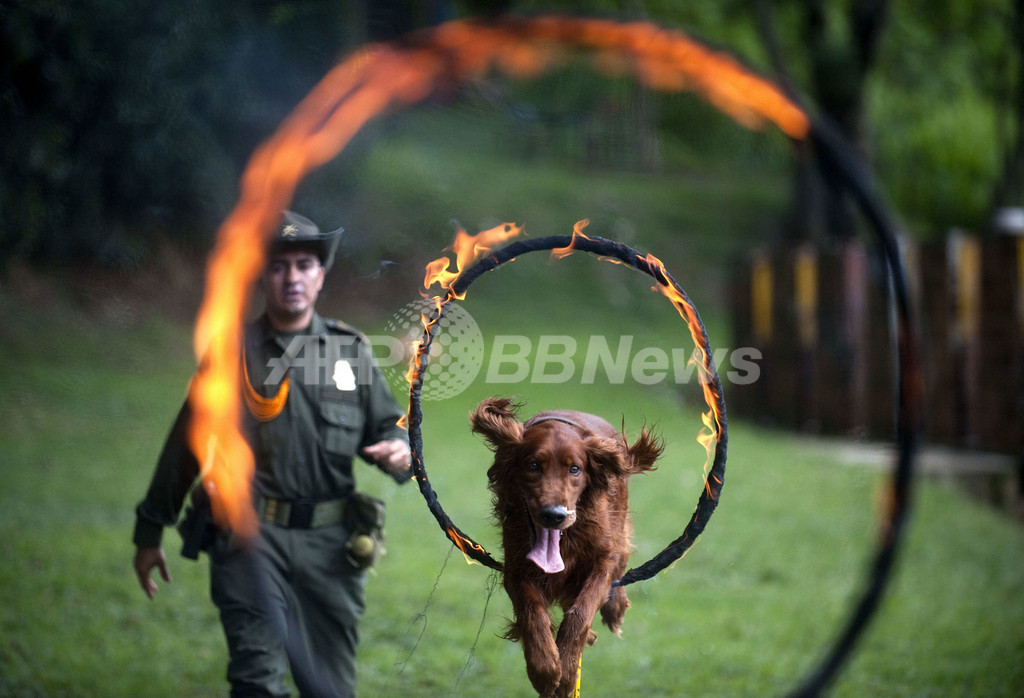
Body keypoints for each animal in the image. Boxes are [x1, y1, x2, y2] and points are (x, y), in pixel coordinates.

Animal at [471, 397, 663, 695]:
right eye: (532, 465)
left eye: (575, 469)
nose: (555, 515)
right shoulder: (516, 566)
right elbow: (532, 614)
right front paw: (545, 668)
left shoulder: (602, 558)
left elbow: (580, 613)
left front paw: (568, 669)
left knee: (622, 558)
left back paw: (615, 606)